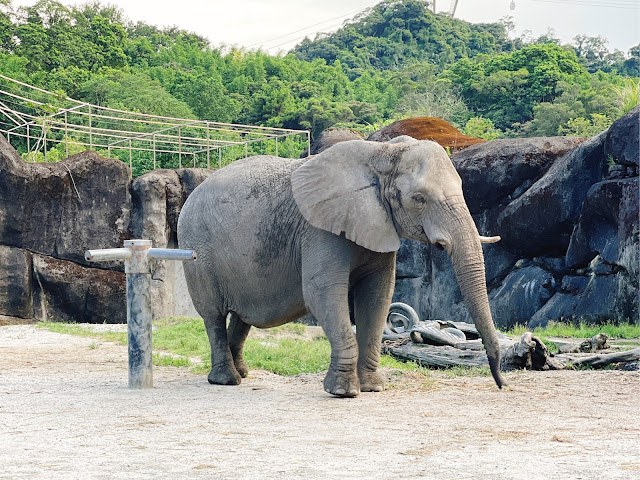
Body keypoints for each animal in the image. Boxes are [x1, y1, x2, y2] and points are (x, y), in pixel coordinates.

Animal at [179, 137, 504, 396]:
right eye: (419, 198)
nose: (501, 383)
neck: (382, 153)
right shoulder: (319, 229)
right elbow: (323, 293)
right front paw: (343, 392)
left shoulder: (380, 224)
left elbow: (377, 296)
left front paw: (373, 388)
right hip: (197, 248)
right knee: (213, 315)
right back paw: (227, 380)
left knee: (242, 315)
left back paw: (244, 374)